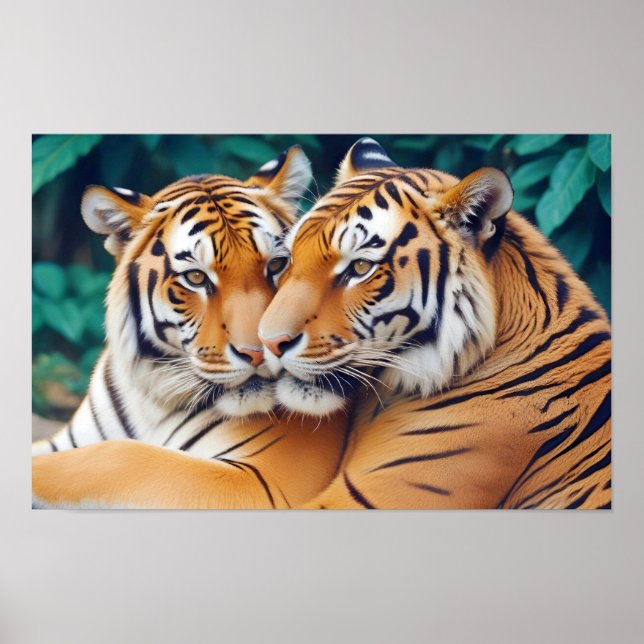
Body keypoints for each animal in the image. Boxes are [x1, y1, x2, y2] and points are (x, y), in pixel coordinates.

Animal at [32, 145, 348, 509]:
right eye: (196, 277)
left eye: (277, 264)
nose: (259, 352)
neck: (154, 400)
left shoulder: (263, 481)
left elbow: (119, 458)